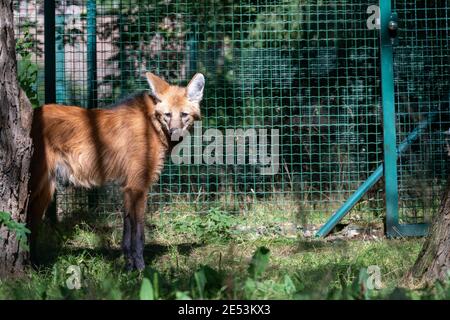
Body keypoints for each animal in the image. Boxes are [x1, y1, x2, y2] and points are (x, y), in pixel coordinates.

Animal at [27, 72, 204, 270]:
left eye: (184, 114)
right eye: (168, 114)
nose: (174, 132)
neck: (152, 124)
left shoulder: (128, 187)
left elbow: (127, 230)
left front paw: (128, 266)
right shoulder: (138, 187)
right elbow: (139, 233)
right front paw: (141, 268)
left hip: (45, 190)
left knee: (31, 226)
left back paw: (35, 265)